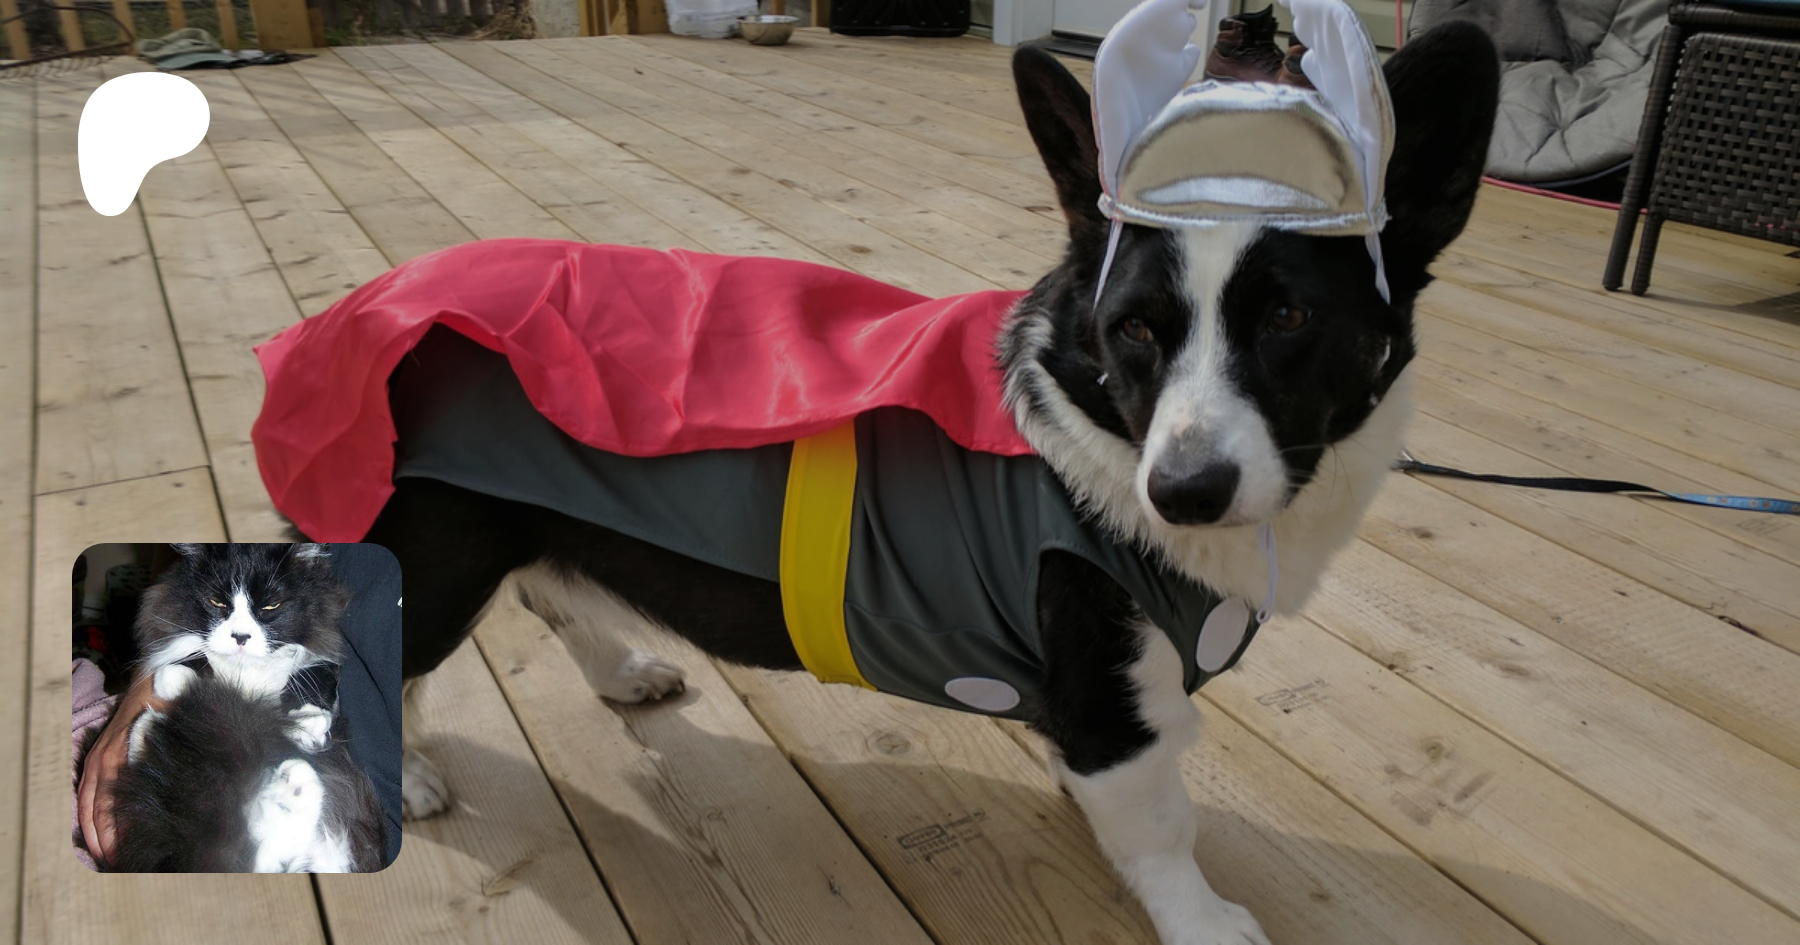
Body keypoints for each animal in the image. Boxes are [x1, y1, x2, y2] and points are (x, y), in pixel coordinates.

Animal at [336, 23, 1496, 943]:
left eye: (1291, 317)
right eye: (1134, 330)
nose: (1184, 493)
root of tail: (388, 300)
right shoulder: (1116, 709)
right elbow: (1166, 826)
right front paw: (1206, 923)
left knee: (551, 586)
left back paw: (624, 671)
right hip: (440, 557)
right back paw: (410, 778)